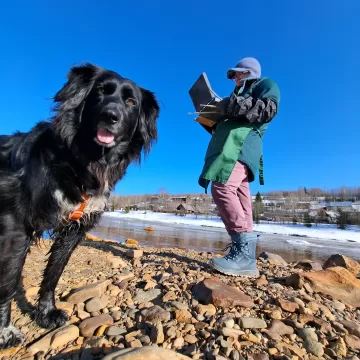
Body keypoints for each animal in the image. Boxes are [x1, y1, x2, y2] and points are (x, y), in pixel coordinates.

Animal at [0, 62, 159, 348]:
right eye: (100, 92)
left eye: (131, 101)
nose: (110, 115)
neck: (81, 160)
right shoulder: (16, 224)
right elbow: (8, 280)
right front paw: (5, 332)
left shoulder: (75, 229)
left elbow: (53, 273)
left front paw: (47, 314)